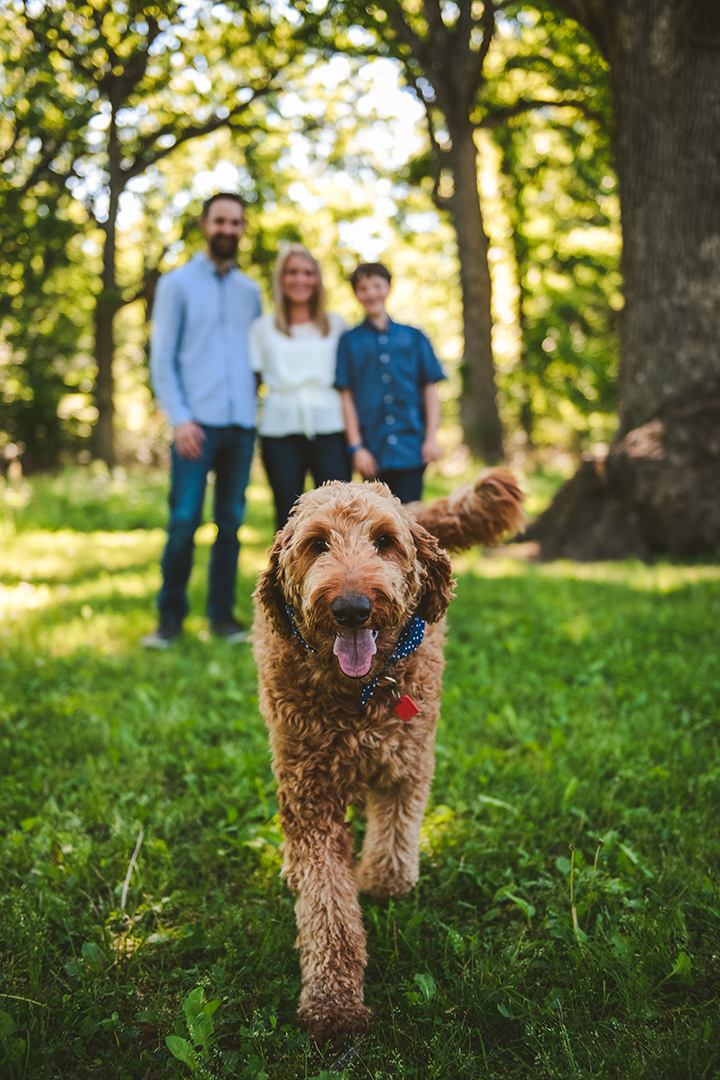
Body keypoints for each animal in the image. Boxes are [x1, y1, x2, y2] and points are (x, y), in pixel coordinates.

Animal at [253, 470, 524, 1036]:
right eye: (317, 544)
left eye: (384, 541)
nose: (352, 608)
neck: (358, 692)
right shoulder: (309, 794)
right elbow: (327, 903)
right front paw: (333, 1002)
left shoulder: (407, 764)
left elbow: (393, 844)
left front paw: (381, 882)